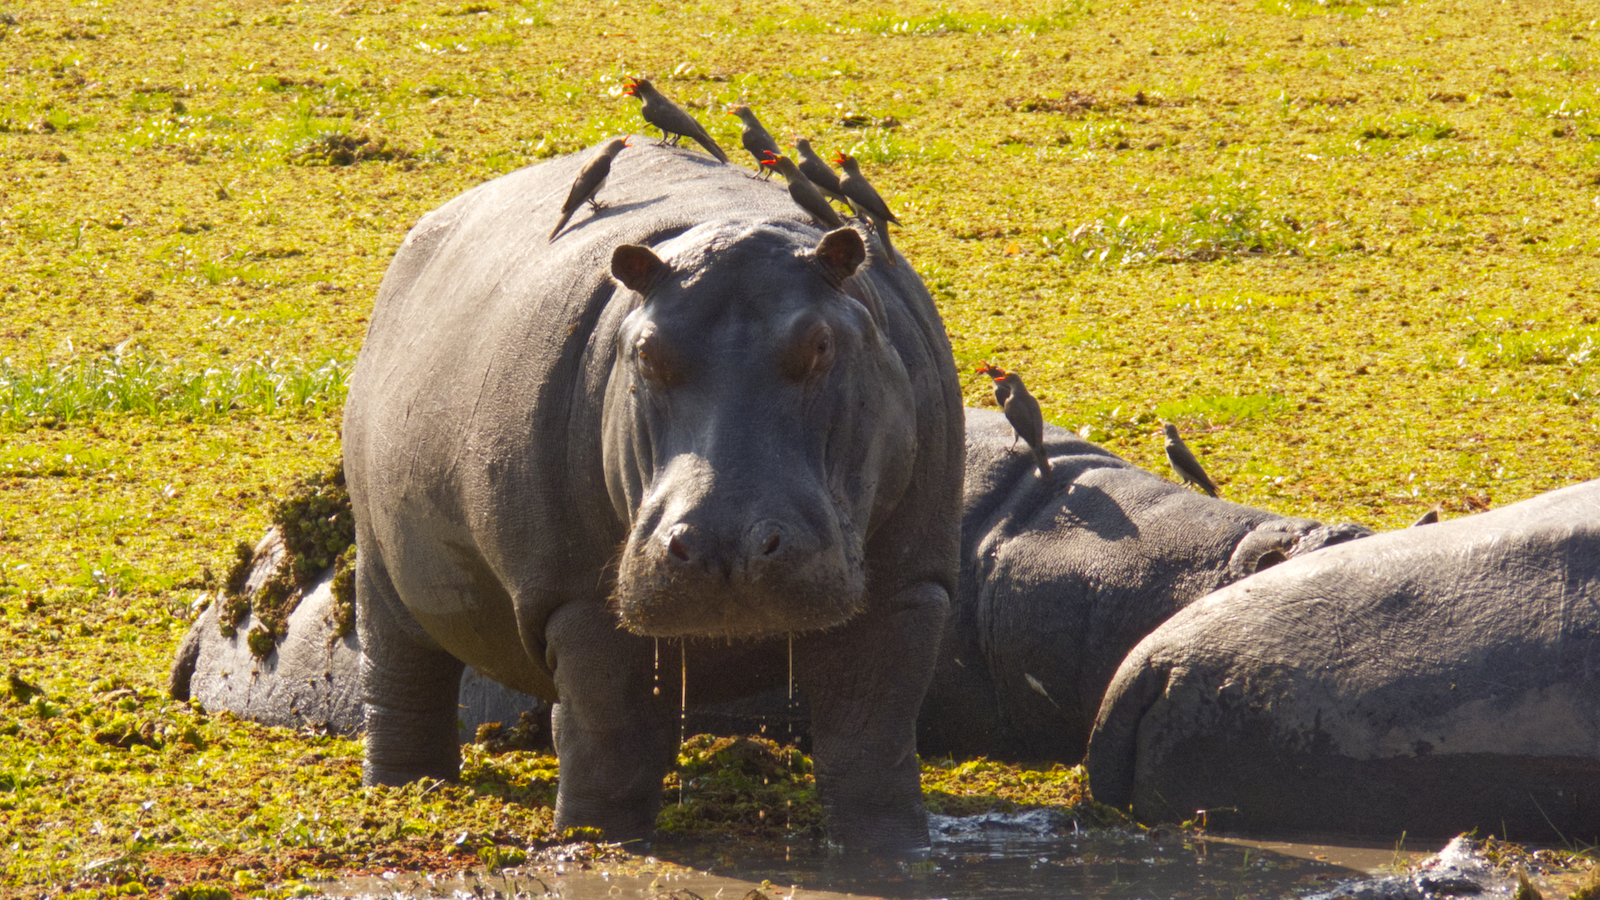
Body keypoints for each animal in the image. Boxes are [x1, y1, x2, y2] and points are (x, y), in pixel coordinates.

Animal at [340, 138, 960, 845]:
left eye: (822, 344)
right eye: (644, 351)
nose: (724, 544)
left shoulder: (911, 590)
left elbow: (870, 740)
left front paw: (888, 849)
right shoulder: (577, 601)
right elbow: (611, 741)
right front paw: (598, 843)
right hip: (380, 567)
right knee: (401, 684)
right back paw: (405, 787)